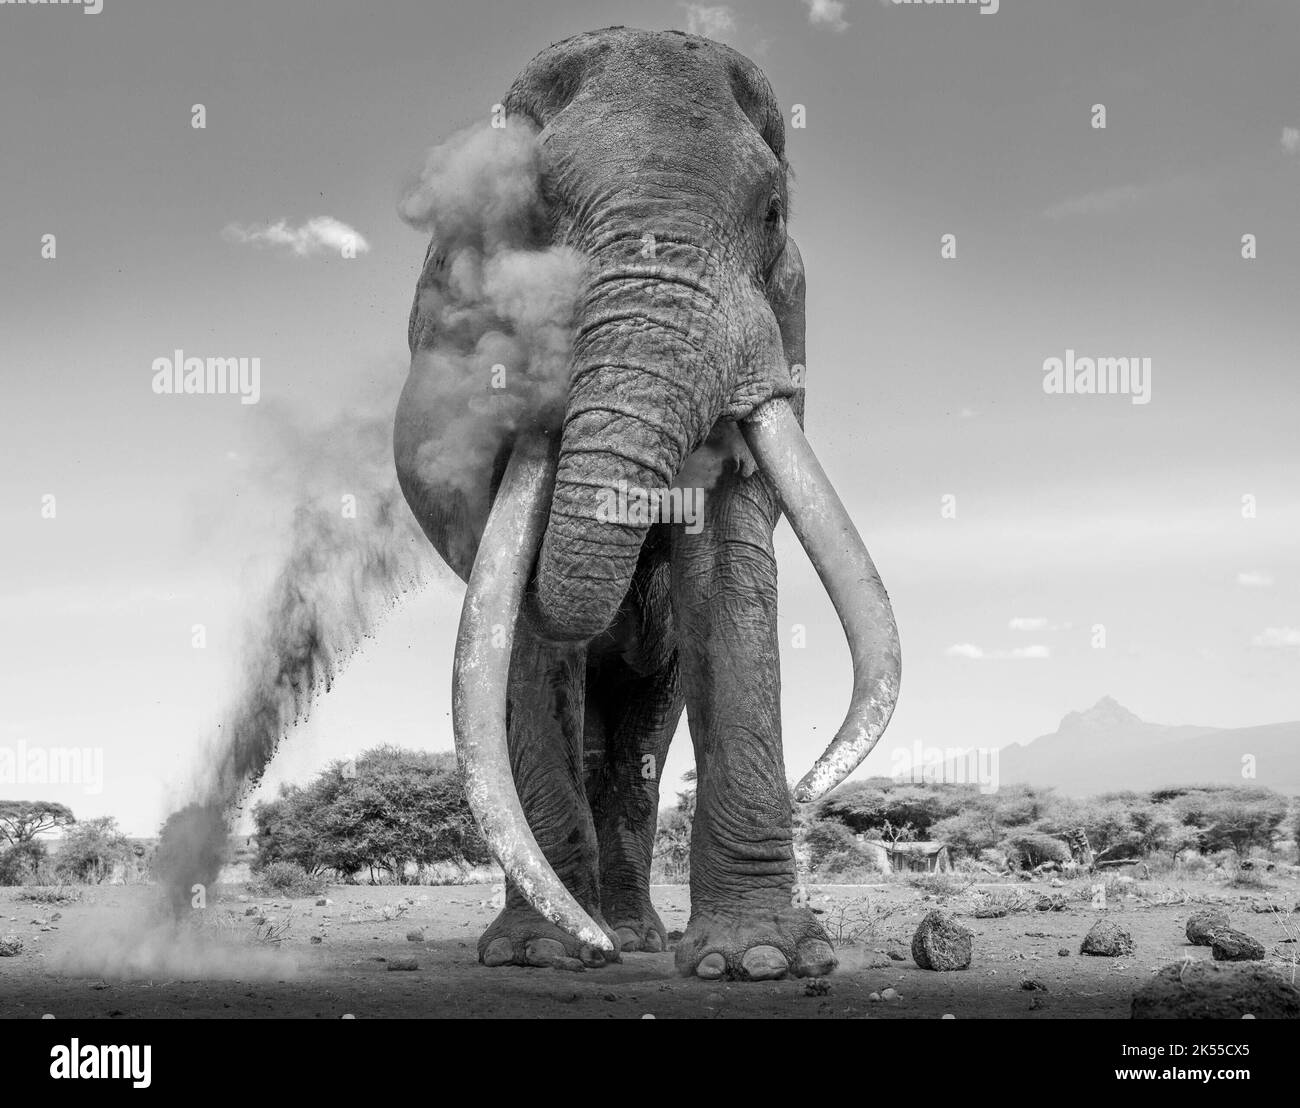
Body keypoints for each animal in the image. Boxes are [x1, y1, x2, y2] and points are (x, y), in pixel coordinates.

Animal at [394, 26, 900, 980]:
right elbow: (524, 638)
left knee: (638, 739)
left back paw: (631, 937)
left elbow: (729, 572)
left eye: (773, 213)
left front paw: (760, 961)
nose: (812, 793)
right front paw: (541, 956)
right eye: (528, 218)